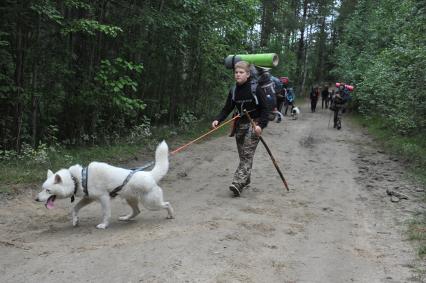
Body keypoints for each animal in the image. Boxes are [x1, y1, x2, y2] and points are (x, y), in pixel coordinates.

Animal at [34, 141, 171, 230]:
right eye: (42, 189)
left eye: (48, 190)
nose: (36, 199)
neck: (78, 179)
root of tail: (150, 175)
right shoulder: (88, 198)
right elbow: (75, 208)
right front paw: (75, 221)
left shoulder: (103, 198)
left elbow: (105, 214)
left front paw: (103, 225)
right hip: (130, 199)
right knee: (137, 211)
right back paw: (125, 218)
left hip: (151, 203)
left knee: (167, 204)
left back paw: (170, 215)